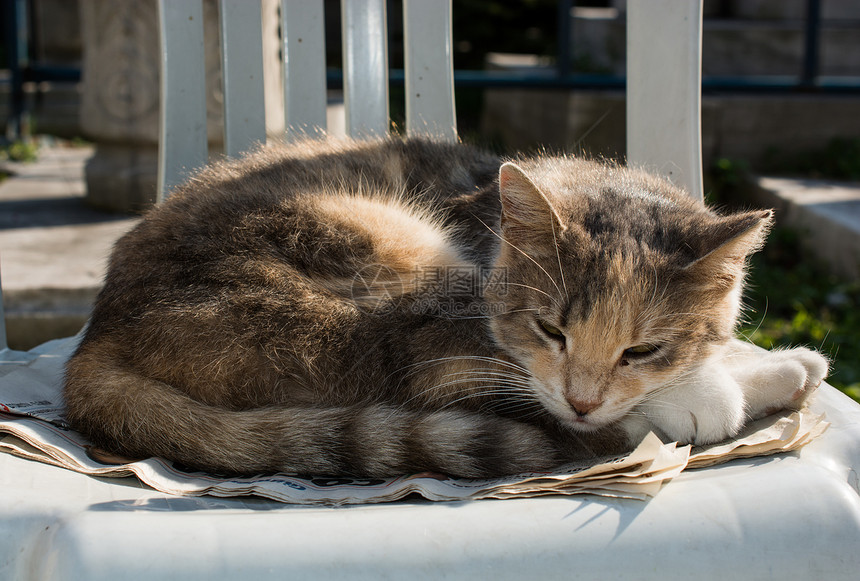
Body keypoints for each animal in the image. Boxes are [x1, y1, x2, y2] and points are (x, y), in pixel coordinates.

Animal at [60, 136, 828, 476]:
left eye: (642, 346)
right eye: (550, 329)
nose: (583, 399)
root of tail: (95, 335)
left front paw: (775, 364)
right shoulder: (476, 344)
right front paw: (715, 392)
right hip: (373, 275)